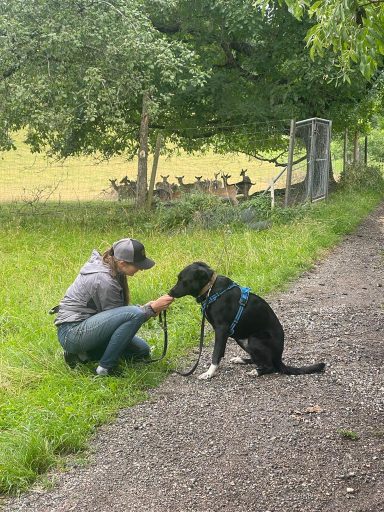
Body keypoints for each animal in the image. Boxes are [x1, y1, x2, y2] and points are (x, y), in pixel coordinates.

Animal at [170, 264, 326, 380]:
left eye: (182, 280)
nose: (170, 292)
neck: (211, 290)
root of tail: (279, 358)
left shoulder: (221, 330)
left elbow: (216, 354)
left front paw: (209, 373)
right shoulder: (223, 333)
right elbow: (220, 353)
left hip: (254, 340)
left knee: (270, 366)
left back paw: (257, 372)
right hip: (241, 339)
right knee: (258, 360)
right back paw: (241, 360)